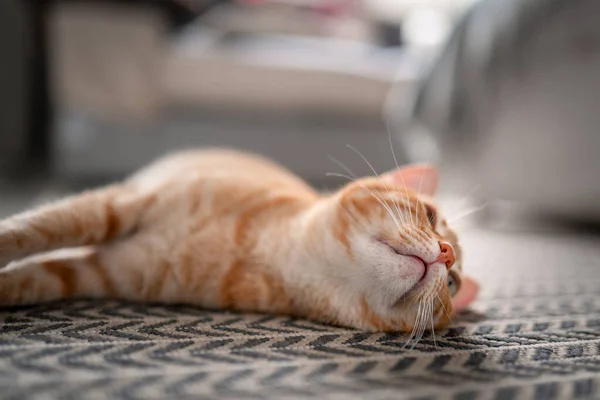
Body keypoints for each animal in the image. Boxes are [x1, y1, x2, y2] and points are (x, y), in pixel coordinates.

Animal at [0, 148, 478, 332]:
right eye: (430, 216)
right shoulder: (120, 204)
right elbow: (32, 229)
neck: (254, 250)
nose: (446, 253)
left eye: (452, 283)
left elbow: (30, 280)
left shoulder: (99, 273)